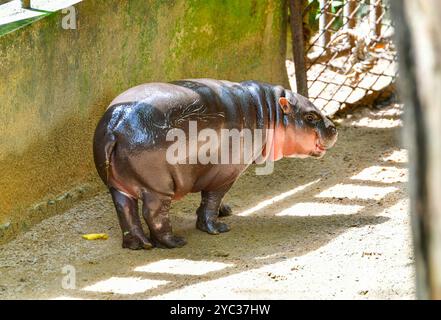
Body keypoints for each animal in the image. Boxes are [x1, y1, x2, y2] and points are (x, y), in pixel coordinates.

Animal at [91, 79, 336, 250]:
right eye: (310, 117)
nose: (333, 127)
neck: (268, 111)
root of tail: (115, 123)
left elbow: (213, 201)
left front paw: (226, 211)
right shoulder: (225, 174)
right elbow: (211, 200)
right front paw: (218, 227)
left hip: (118, 186)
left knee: (125, 210)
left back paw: (139, 244)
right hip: (157, 188)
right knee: (153, 214)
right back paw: (174, 242)